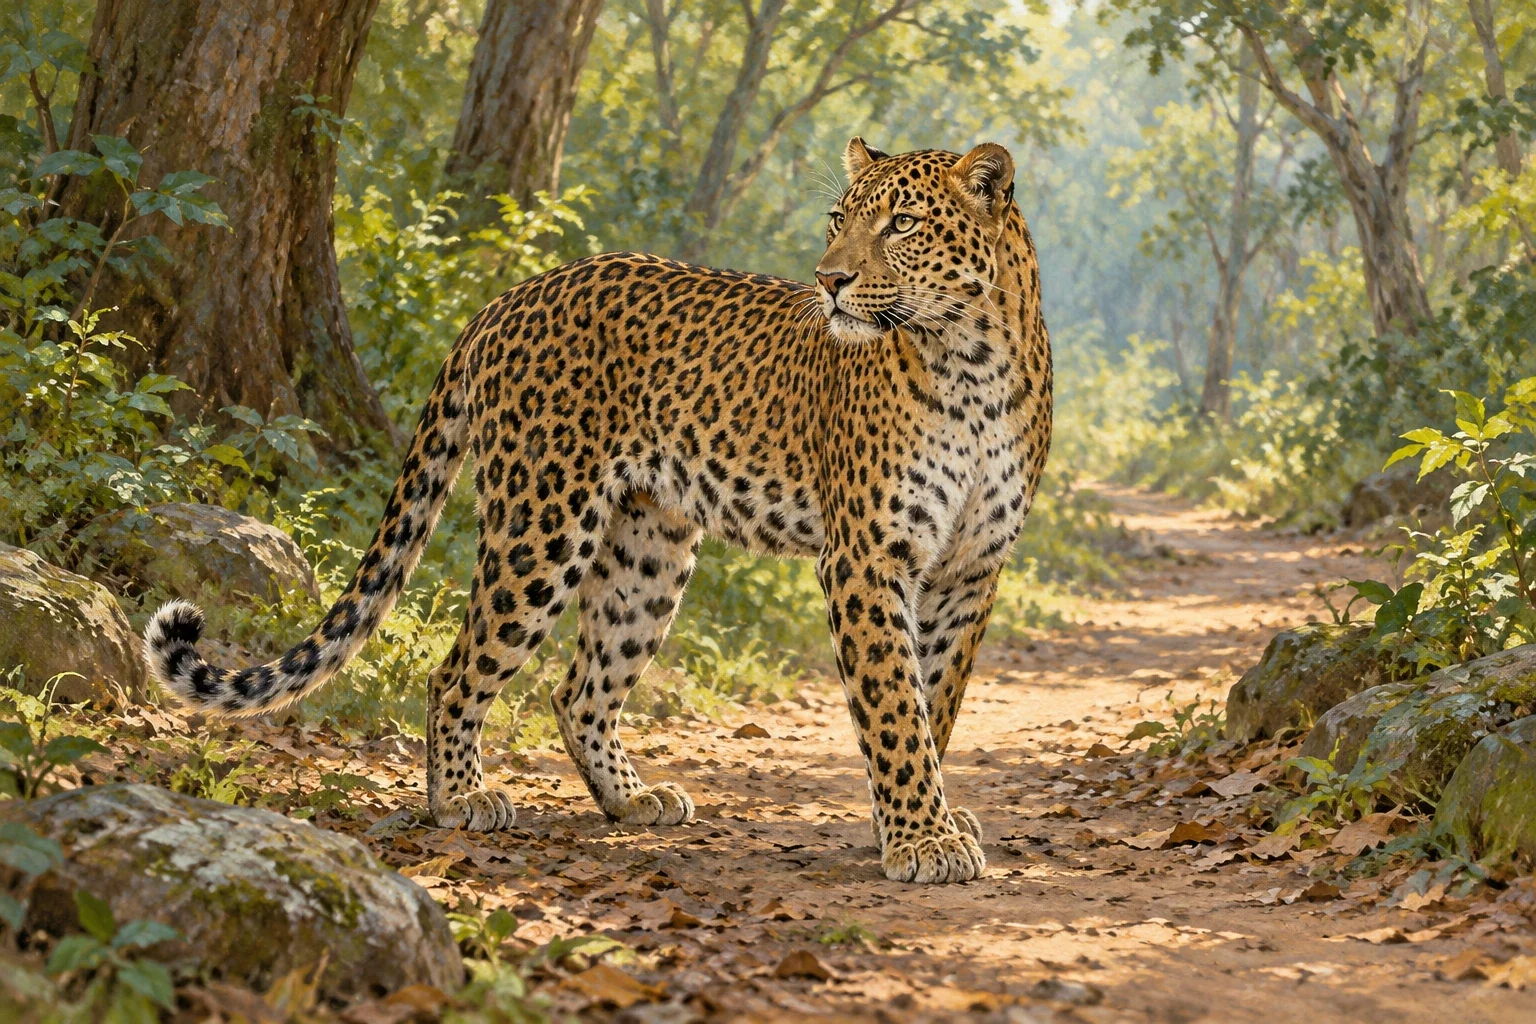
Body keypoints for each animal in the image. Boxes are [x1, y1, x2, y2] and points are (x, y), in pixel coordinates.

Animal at [143, 138, 1052, 884]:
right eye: (840, 219)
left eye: (902, 223)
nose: (830, 280)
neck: (972, 361)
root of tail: (505, 298)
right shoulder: (867, 556)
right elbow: (894, 706)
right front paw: (923, 841)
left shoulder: (970, 571)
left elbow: (936, 700)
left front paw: (921, 824)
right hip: (542, 523)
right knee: (456, 670)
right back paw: (460, 800)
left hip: (648, 548)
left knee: (579, 687)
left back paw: (629, 801)